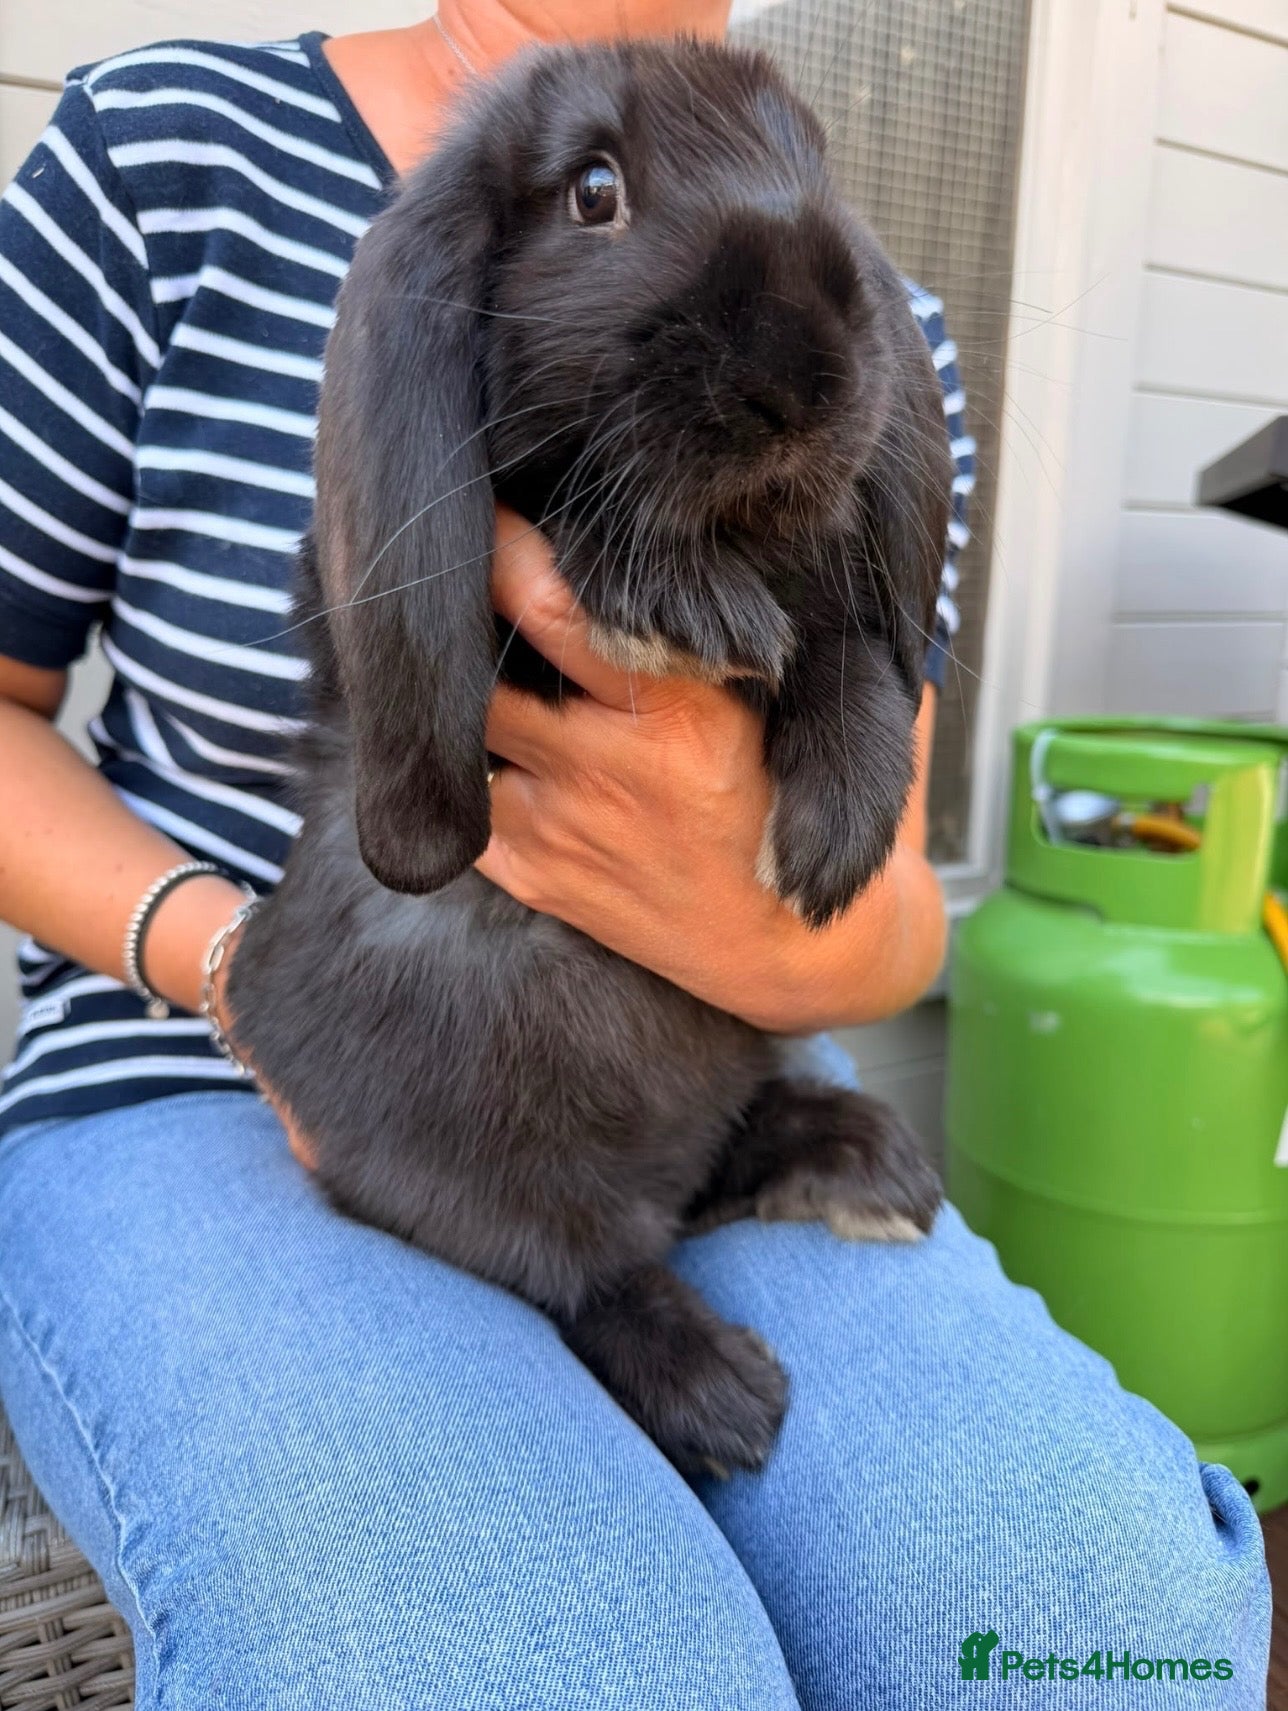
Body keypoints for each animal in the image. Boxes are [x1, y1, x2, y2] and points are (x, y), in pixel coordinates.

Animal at [227, 35, 952, 1477]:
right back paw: (723, 1391)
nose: (809, 377)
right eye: (594, 193)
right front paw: (681, 604)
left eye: (818, 168)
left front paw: (833, 842)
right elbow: (568, 535)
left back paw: (865, 1162)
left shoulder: (832, 601)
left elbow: (849, 655)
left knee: (715, 1172)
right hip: (469, 1158)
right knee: (579, 1269)